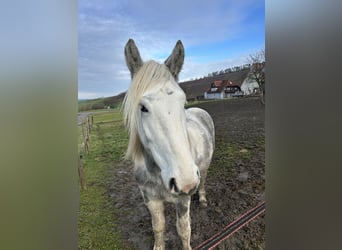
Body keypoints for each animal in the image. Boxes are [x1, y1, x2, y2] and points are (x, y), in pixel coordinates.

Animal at [122, 39, 214, 250]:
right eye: (143, 107)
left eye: (183, 102)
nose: (186, 181)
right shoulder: (151, 199)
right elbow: (158, 227)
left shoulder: (183, 199)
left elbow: (184, 231)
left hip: (204, 168)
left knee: (204, 180)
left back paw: (202, 198)